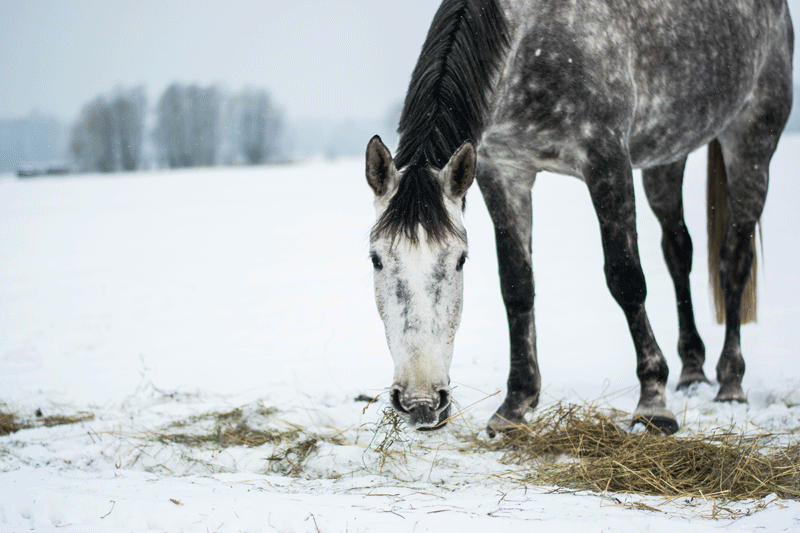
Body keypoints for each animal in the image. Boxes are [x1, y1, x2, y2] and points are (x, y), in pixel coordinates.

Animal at [364, 0, 792, 434]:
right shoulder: (504, 171)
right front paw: (515, 405)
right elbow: (517, 286)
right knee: (678, 251)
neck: (529, 39)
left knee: (734, 259)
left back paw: (730, 382)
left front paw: (653, 403)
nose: (420, 402)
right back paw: (692, 371)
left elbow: (626, 278)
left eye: (460, 260)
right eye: (376, 259)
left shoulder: (606, 158)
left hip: (753, 137)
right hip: (666, 155)